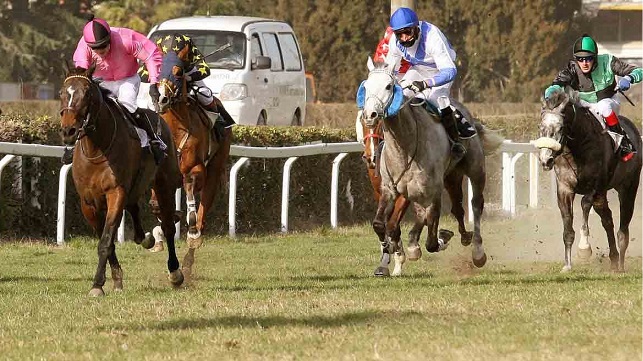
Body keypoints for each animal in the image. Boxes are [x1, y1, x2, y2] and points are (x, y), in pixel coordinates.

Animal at [59, 64, 184, 296]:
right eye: (62, 93)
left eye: (87, 94)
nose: (68, 130)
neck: (97, 148)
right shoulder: (88, 202)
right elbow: (106, 240)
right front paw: (116, 278)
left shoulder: (115, 192)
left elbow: (106, 241)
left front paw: (97, 285)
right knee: (135, 208)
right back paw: (144, 238)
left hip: (165, 184)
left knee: (169, 226)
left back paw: (175, 272)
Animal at [155, 50, 233, 270]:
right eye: (159, 69)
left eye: (178, 72)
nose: (162, 99)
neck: (175, 130)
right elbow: (156, 202)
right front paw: (161, 229)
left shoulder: (196, 169)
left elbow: (190, 187)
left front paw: (190, 229)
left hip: (215, 168)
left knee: (202, 214)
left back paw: (191, 248)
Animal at [362, 59, 504, 276]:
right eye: (366, 87)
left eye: (388, 86)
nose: (370, 115)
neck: (405, 146)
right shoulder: (390, 189)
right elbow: (381, 224)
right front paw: (391, 254)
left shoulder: (433, 190)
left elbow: (431, 239)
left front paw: (441, 238)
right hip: (451, 177)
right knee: (456, 209)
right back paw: (459, 237)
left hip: (475, 169)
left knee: (476, 204)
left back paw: (477, 251)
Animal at [532, 88, 640, 272]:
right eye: (541, 126)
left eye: (560, 127)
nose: (546, 160)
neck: (578, 148)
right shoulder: (565, 188)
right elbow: (568, 227)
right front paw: (567, 265)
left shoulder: (595, 185)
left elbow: (584, 204)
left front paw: (584, 248)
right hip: (603, 195)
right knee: (607, 220)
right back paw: (613, 258)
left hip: (628, 187)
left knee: (623, 227)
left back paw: (620, 264)